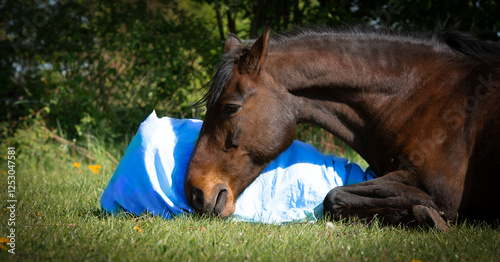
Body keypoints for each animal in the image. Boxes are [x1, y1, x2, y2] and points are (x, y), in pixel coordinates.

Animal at [185, 24, 500, 229]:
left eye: (230, 107)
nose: (194, 194)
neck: (422, 92)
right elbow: (336, 199)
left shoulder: (439, 191)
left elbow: (333, 196)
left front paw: (419, 215)